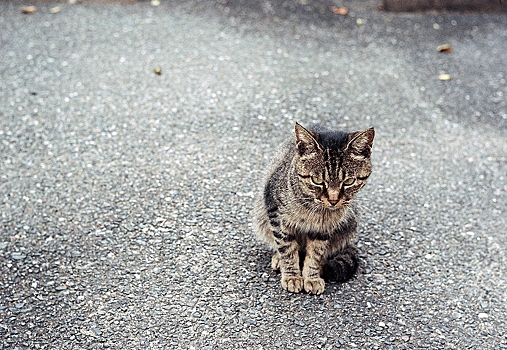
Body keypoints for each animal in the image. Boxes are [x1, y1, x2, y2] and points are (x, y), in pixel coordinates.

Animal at [253, 123, 374, 296]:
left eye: (349, 181)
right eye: (317, 180)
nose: (333, 200)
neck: (314, 209)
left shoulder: (323, 229)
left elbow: (315, 254)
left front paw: (312, 277)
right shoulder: (277, 216)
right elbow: (287, 248)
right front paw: (292, 276)